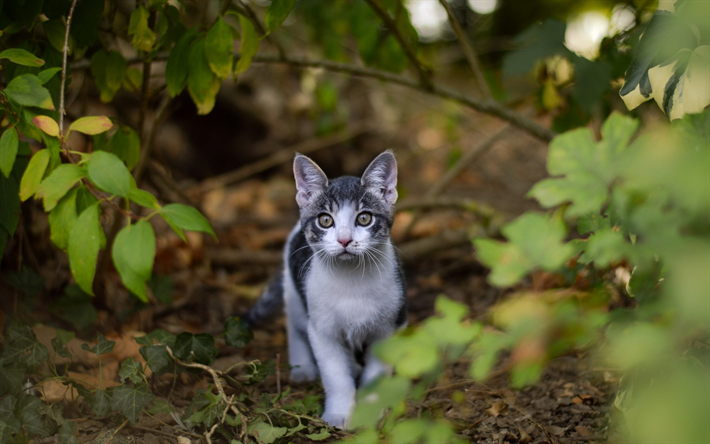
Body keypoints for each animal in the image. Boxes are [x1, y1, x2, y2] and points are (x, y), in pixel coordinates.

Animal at [243, 151, 406, 428]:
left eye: (364, 218)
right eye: (325, 220)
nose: (344, 239)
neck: (352, 280)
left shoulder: (392, 324)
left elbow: (378, 372)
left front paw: (370, 408)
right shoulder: (322, 330)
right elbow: (335, 375)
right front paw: (339, 413)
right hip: (296, 293)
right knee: (295, 324)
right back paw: (302, 366)